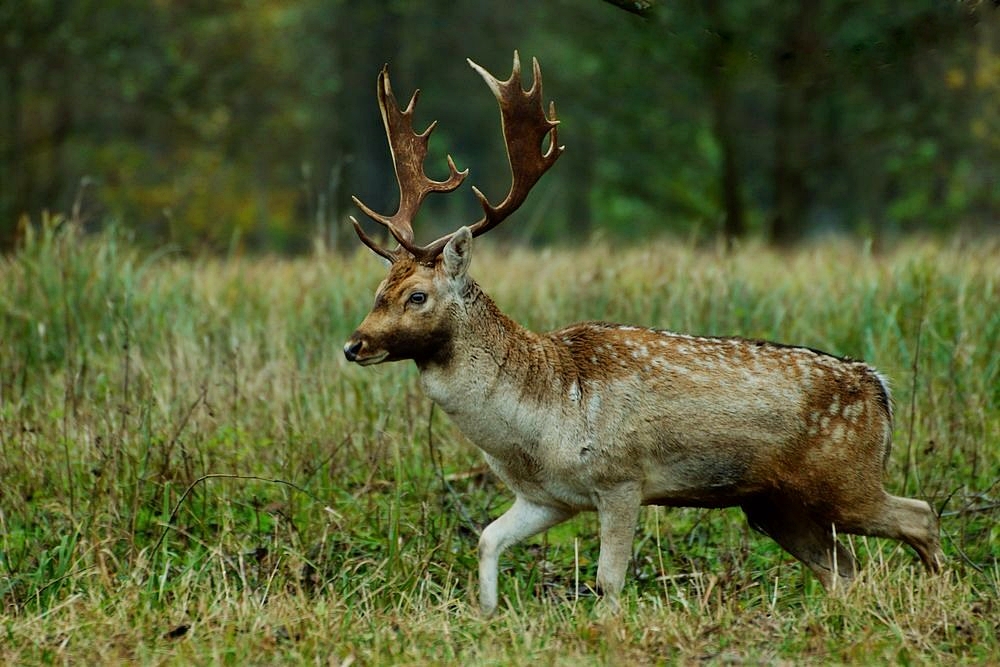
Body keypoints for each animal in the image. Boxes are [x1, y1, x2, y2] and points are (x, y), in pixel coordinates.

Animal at [344, 52, 944, 616]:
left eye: (416, 296)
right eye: (379, 289)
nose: (354, 345)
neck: (538, 422)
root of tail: (881, 388)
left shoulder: (622, 479)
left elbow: (609, 580)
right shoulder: (548, 497)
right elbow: (488, 540)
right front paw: (487, 615)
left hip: (845, 478)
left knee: (921, 515)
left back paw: (945, 593)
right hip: (775, 504)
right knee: (846, 570)